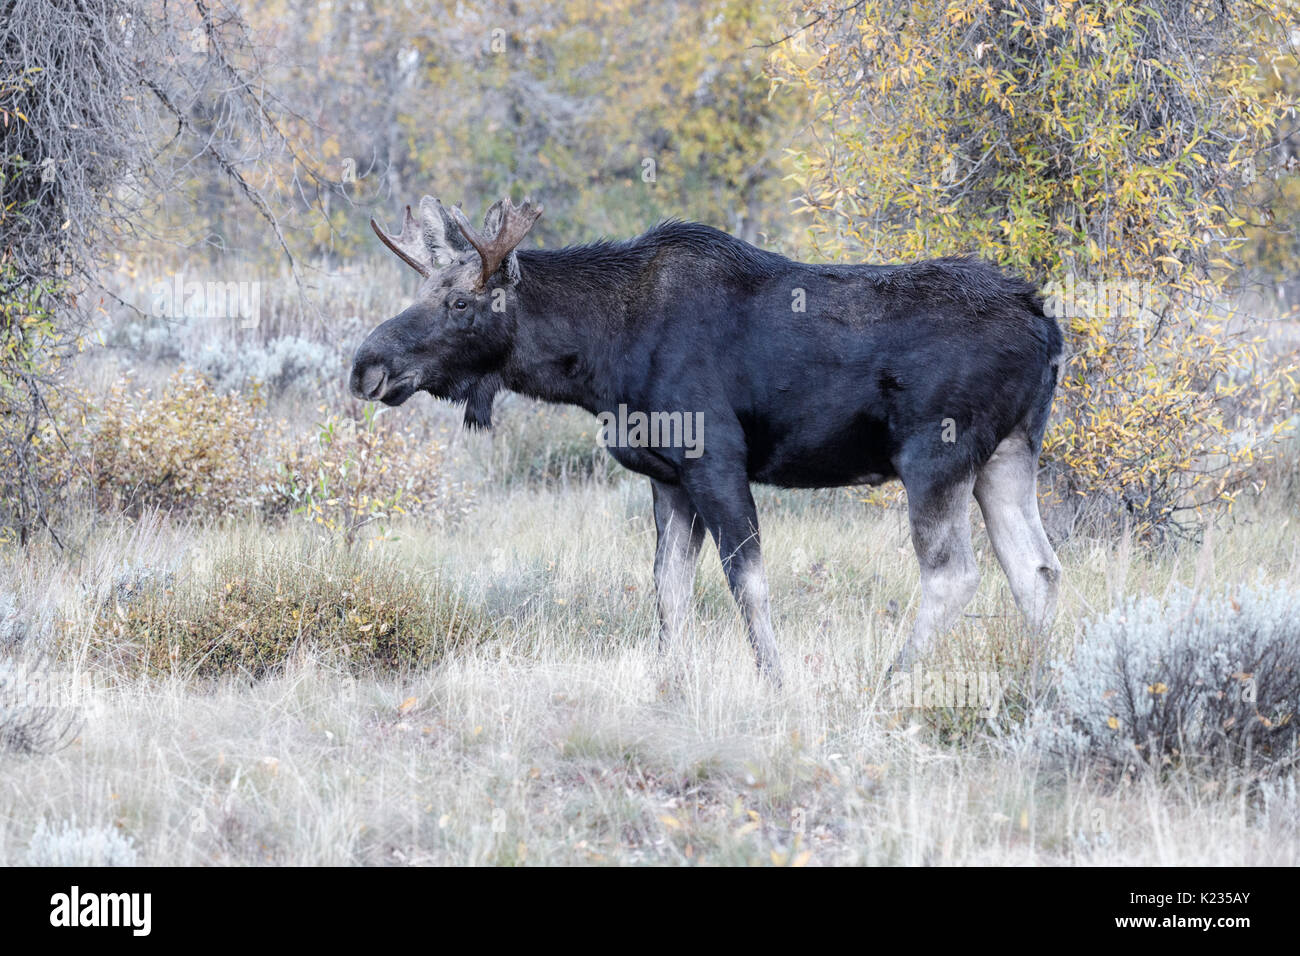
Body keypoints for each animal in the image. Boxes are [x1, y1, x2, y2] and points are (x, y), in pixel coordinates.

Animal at [351, 197, 1060, 686]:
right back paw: (1043, 680)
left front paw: (775, 682)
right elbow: (670, 589)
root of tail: (1046, 326)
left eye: (461, 305)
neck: (600, 357)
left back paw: (891, 681)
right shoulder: (667, 477)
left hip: (936, 456)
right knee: (1038, 570)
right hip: (1008, 455)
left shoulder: (714, 458)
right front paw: (672, 680)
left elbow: (747, 581)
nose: (366, 365)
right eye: (424, 290)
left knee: (954, 574)